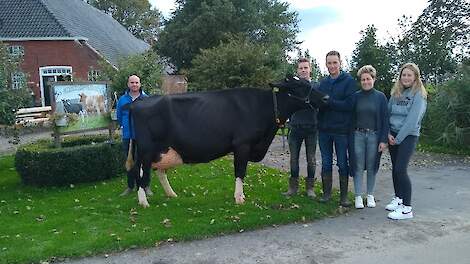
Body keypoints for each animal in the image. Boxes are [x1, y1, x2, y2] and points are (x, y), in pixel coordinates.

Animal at [126, 75, 328, 207]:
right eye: (299, 86)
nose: (326, 98)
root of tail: (137, 103)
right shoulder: (242, 144)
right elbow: (240, 171)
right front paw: (239, 198)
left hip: (162, 149)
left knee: (159, 171)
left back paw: (171, 194)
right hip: (146, 149)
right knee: (139, 170)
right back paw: (143, 201)